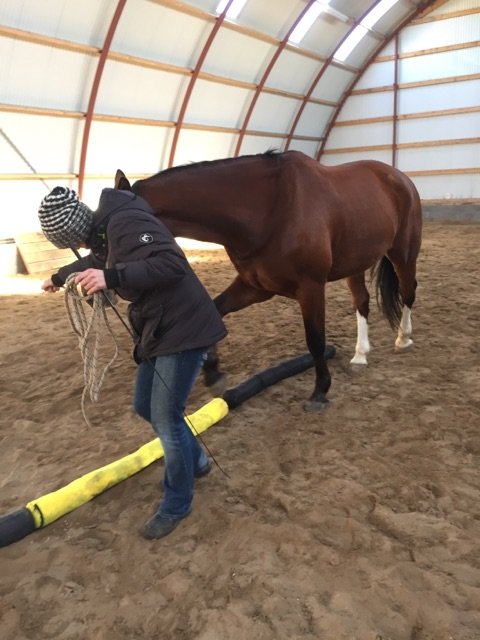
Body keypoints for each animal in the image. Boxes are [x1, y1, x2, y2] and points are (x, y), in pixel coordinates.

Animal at [114, 150, 422, 411]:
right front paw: (213, 374)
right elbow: (215, 310)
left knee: (408, 293)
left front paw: (320, 391)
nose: (118, 286)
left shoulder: (310, 287)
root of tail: (399, 177)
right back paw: (360, 354)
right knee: (362, 302)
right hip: (355, 263)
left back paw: (403, 338)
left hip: (403, 254)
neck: (270, 209)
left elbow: (315, 340)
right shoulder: (256, 286)